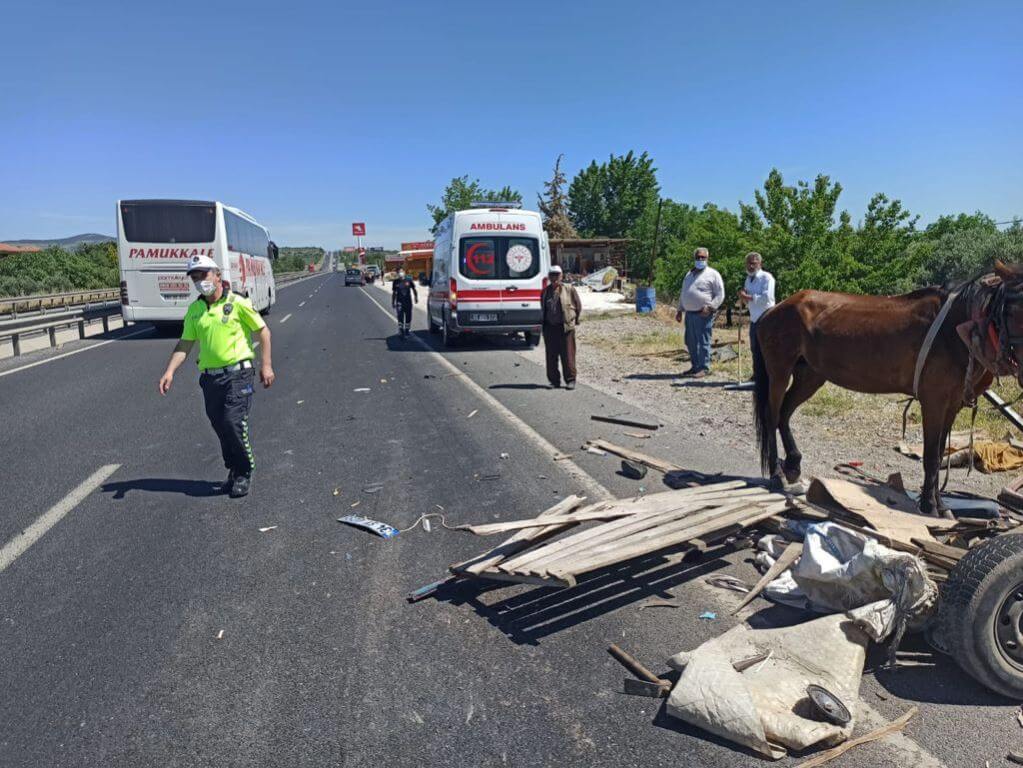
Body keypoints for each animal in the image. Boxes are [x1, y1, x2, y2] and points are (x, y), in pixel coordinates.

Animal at [748, 263, 1023, 517]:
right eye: (1014, 310)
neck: (955, 329)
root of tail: (773, 310)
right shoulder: (933, 401)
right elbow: (931, 456)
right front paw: (929, 505)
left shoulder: (952, 404)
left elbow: (939, 452)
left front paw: (941, 505)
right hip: (779, 373)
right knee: (772, 416)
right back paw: (776, 474)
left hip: (810, 376)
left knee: (784, 414)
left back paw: (793, 465)